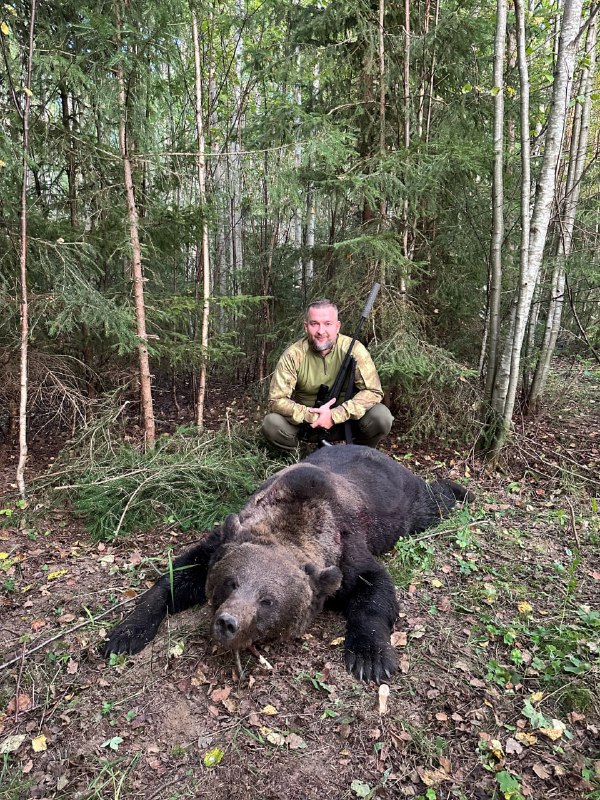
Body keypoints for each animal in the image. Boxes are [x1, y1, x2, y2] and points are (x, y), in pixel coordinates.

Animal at [104, 444, 468, 680]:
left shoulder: (346, 547)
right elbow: (177, 575)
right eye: (230, 582)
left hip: (404, 504)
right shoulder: (225, 539)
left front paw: (370, 657)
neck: (291, 519)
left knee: (431, 503)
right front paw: (123, 634)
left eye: (268, 600)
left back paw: (459, 489)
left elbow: (373, 587)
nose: (228, 623)